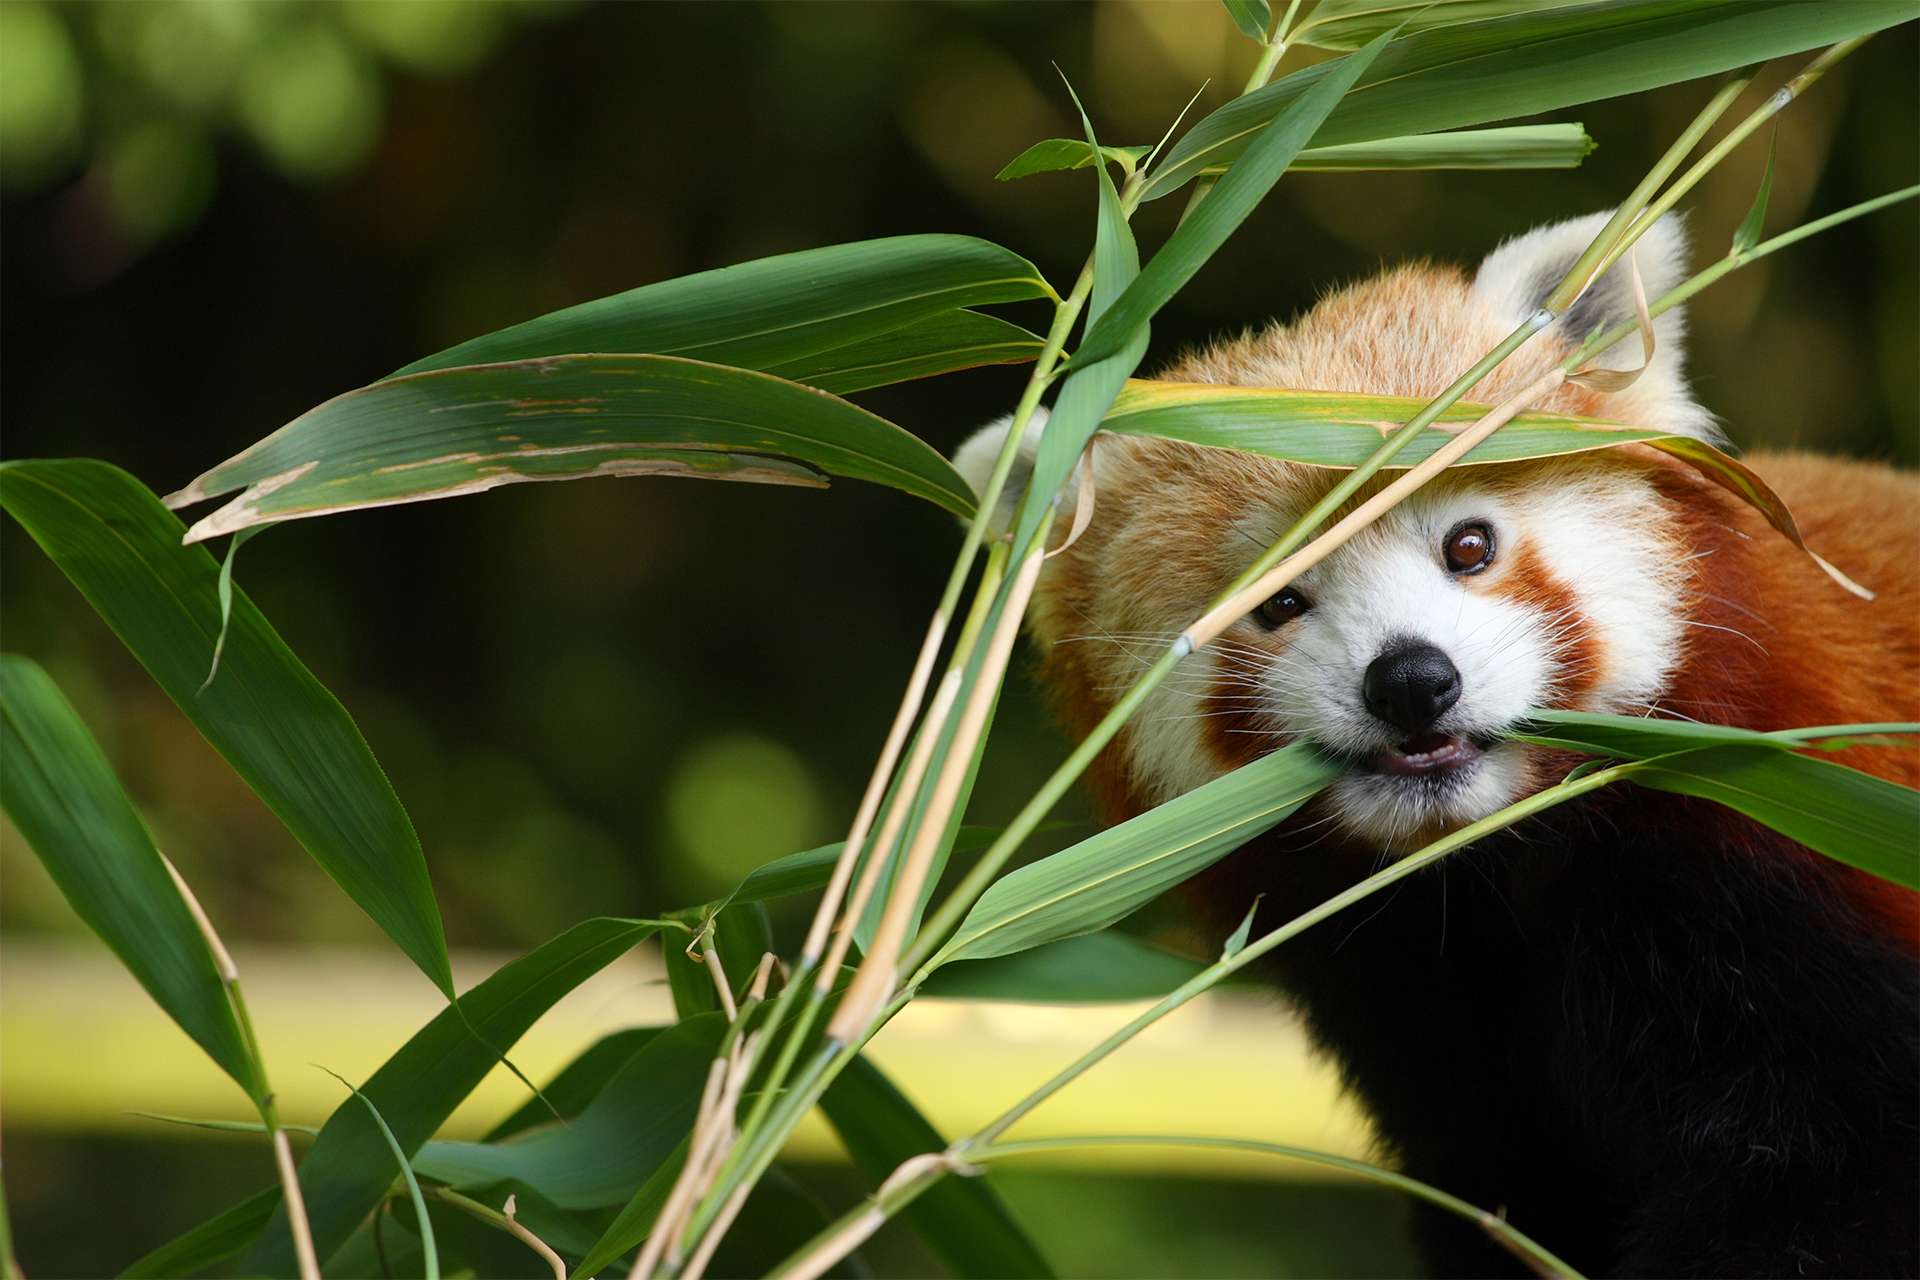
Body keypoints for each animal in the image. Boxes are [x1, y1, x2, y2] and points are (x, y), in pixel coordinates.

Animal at [952, 210, 1912, 1280]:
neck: (1497, 872)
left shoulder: (1777, 872)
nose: (1411, 681)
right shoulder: (1423, 1022)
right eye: (1278, 602)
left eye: (1469, 545)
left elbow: (1821, 1183)